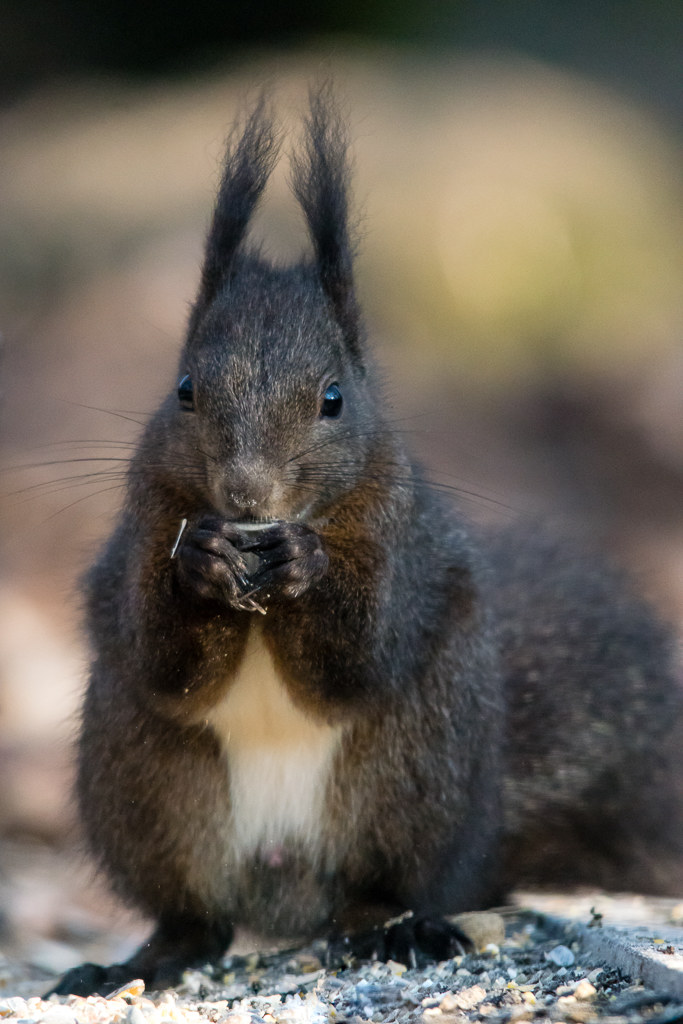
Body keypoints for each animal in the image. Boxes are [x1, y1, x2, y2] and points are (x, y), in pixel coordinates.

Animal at [50, 89, 683, 997]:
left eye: (333, 398)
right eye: (184, 390)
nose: (246, 494)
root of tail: (286, 891)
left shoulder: (398, 542)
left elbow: (361, 658)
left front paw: (305, 566)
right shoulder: (145, 518)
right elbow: (158, 658)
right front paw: (201, 562)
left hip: (410, 780)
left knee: (375, 890)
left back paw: (397, 929)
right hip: (143, 787)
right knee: (193, 920)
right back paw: (137, 962)